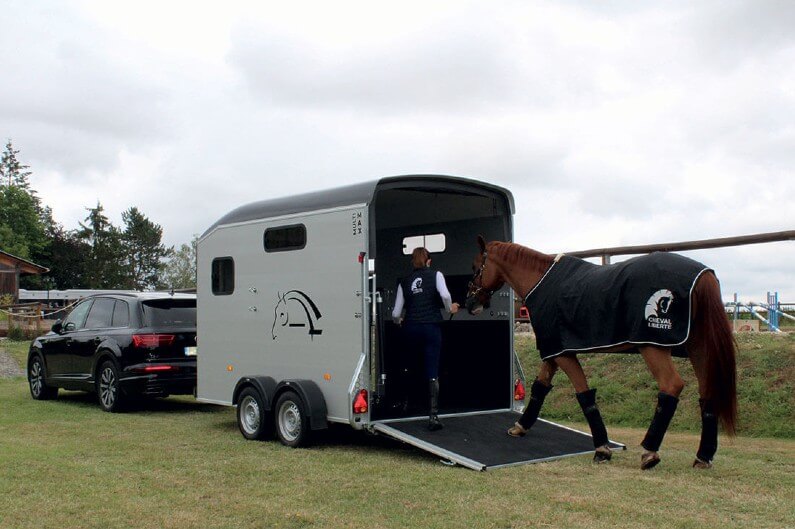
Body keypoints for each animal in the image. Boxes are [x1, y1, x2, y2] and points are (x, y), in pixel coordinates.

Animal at [466, 237, 740, 468]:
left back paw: (650, 452)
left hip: (653, 348)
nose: (471, 303)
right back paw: (703, 456)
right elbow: (539, 388)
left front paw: (602, 449)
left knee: (671, 386)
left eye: (476, 266)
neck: (541, 280)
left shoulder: (563, 354)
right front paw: (520, 427)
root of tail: (702, 274)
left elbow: (584, 395)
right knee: (708, 394)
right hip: (698, 349)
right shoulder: (553, 352)